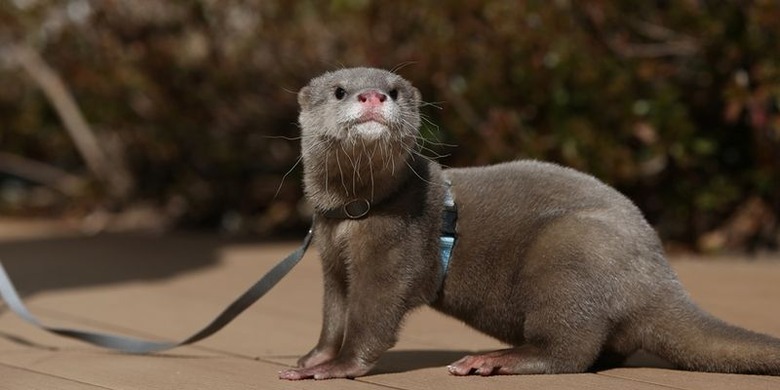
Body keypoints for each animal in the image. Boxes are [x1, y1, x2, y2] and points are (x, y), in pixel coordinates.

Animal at [278, 68, 780, 380]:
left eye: (396, 89)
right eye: (340, 90)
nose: (373, 95)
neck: (354, 217)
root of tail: (657, 274)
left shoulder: (394, 253)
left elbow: (372, 320)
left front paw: (335, 367)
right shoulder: (332, 260)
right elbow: (333, 316)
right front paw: (312, 357)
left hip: (569, 249)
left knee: (570, 349)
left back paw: (493, 361)